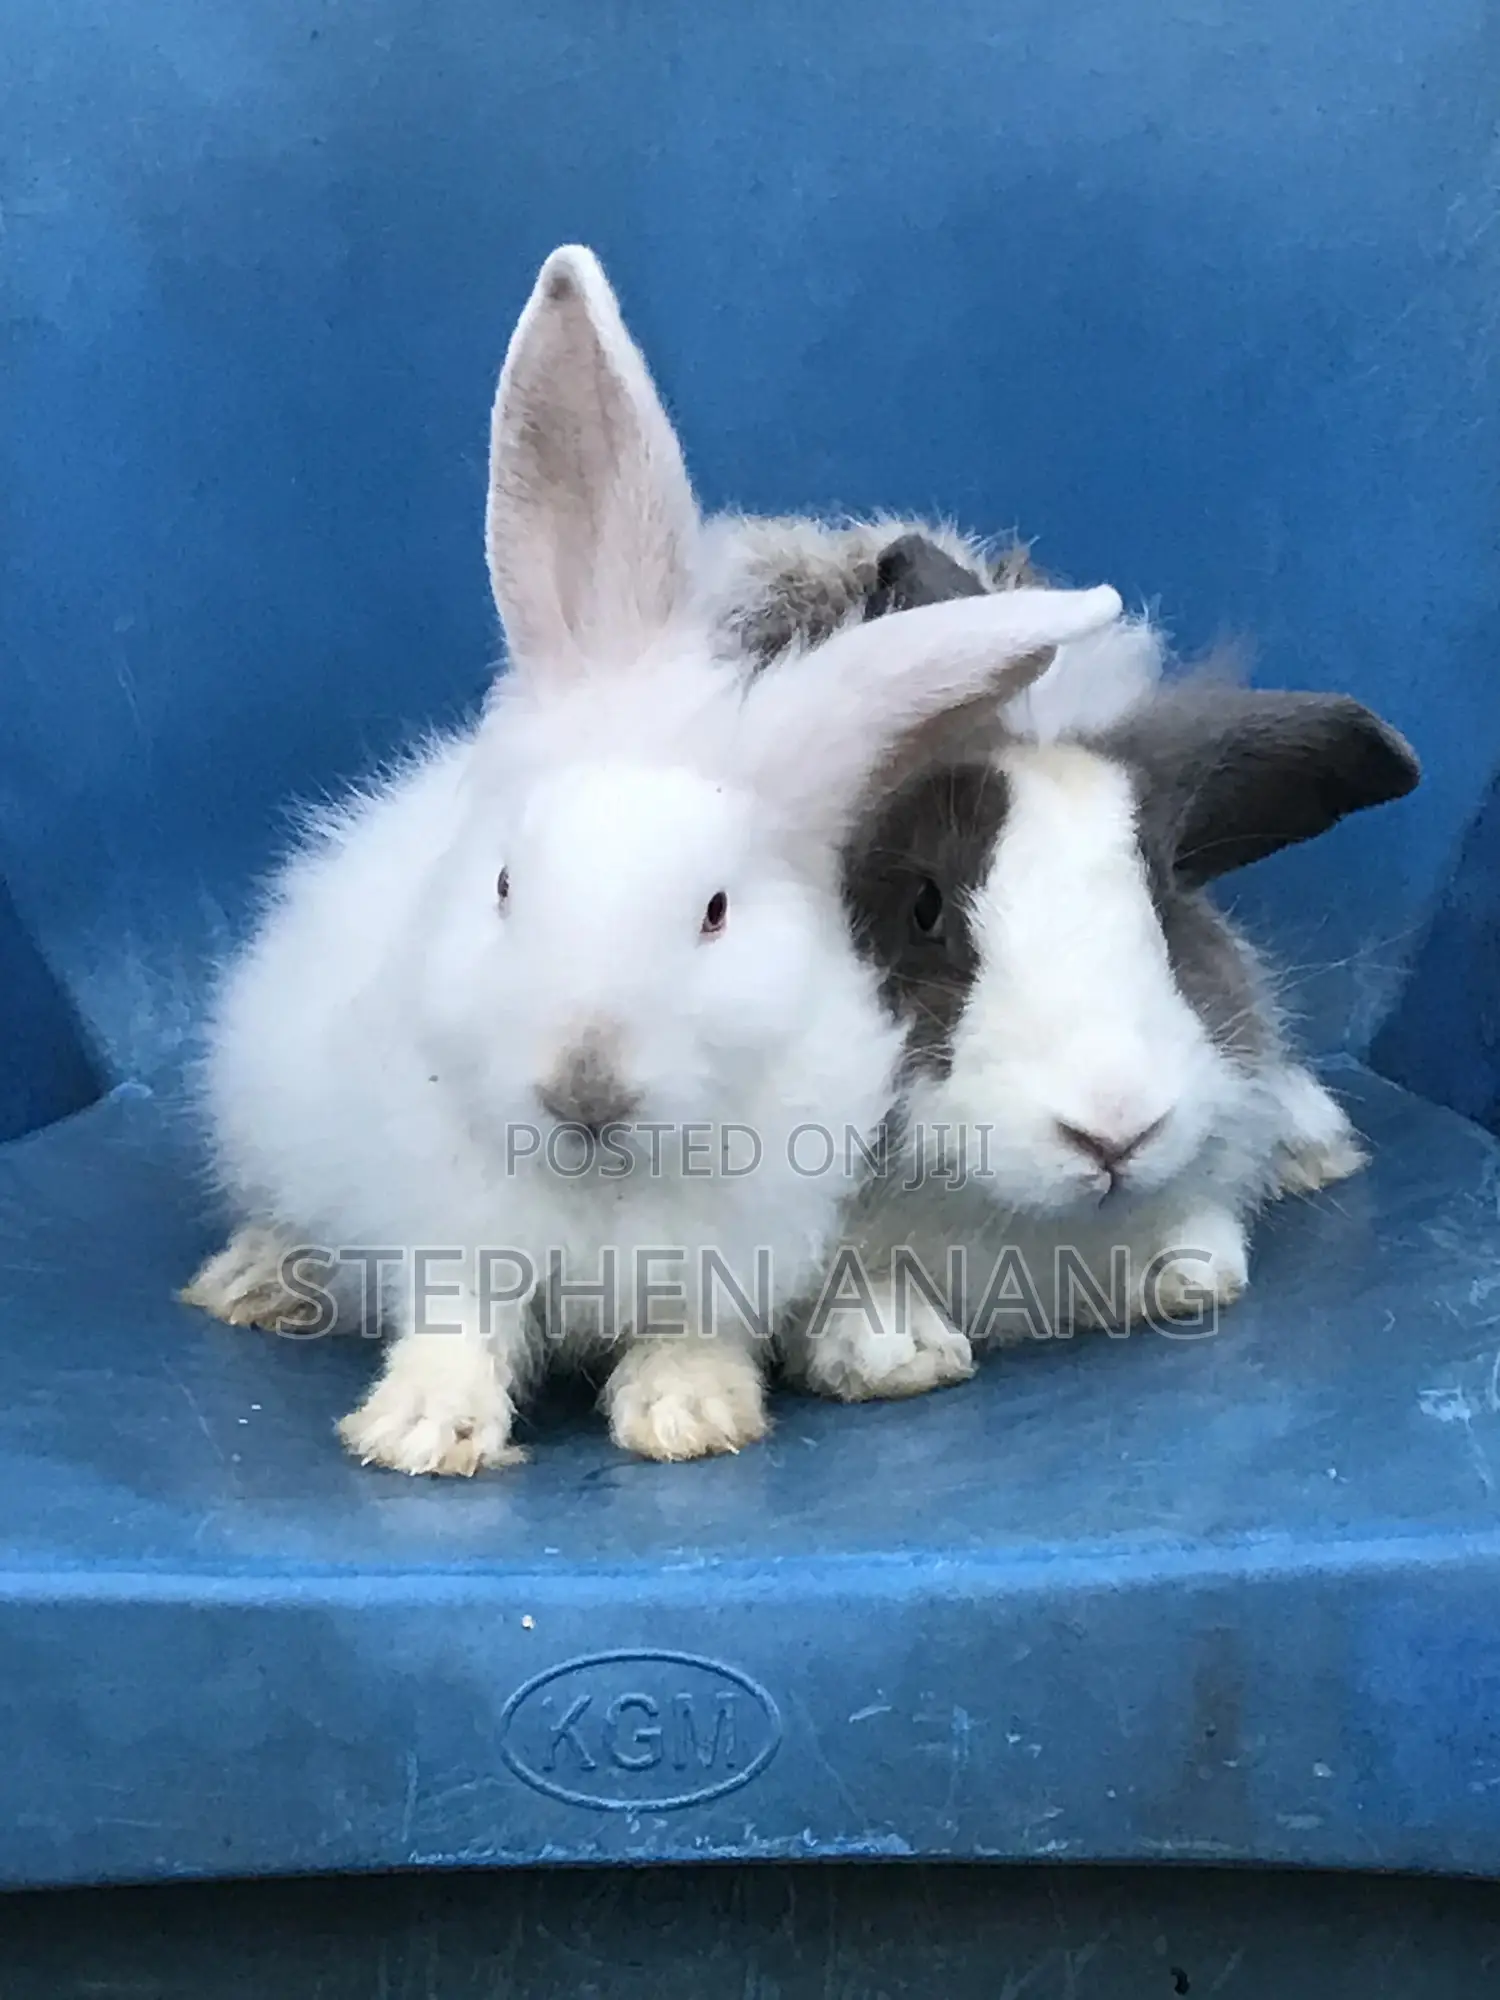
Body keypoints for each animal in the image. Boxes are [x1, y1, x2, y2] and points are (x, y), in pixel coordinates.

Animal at [179, 244, 1127, 1471]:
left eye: (716, 909)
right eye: (504, 885)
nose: (584, 1084)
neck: (606, 1181)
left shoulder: (735, 1250)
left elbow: (691, 1329)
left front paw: (687, 1414)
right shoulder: (446, 1233)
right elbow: (457, 1322)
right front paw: (423, 1432)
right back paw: (253, 1280)